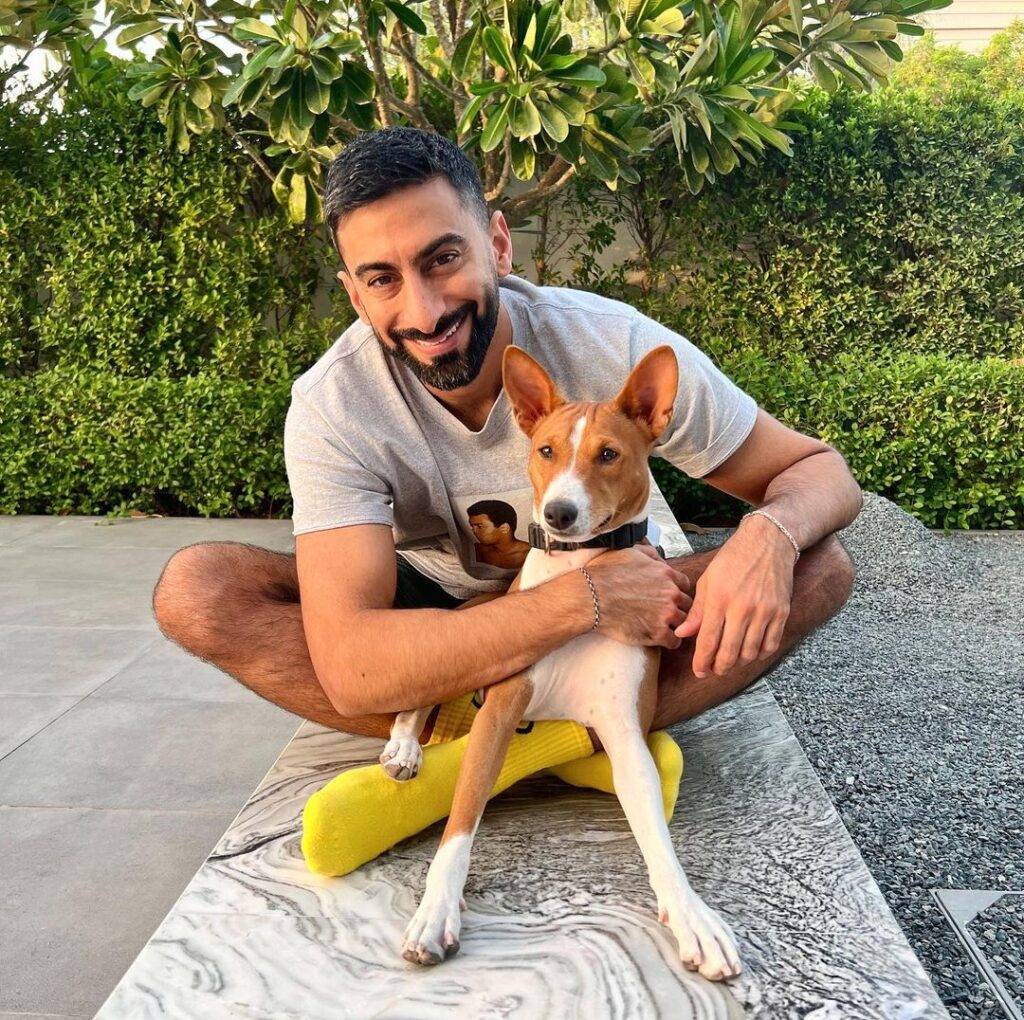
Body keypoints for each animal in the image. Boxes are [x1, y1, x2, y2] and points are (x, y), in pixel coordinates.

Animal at [380, 342, 741, 979]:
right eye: (546, 450)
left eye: (609, 455)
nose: (559, 515)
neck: (581, 573)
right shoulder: (500, 709)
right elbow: (460, 823)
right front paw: (436, 910)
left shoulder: (624, 731)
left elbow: (657, 838)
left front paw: (691, 914)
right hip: (469, 640)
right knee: (418, 698)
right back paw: (403, 747)